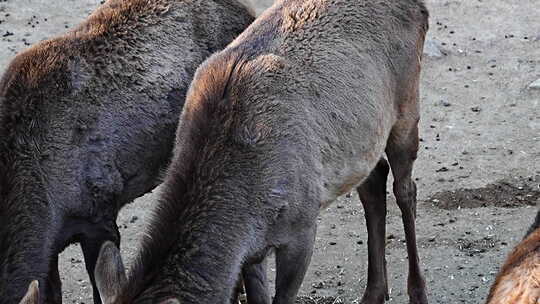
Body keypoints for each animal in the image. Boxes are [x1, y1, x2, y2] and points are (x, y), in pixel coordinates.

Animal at [93, 0, 430, 302]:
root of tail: (420, 7)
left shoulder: (302, 226)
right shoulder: (252, 252)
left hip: (407, 105)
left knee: (405, 190)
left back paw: (417, 291)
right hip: (361, 139)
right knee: (373, 180)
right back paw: (374, 292)